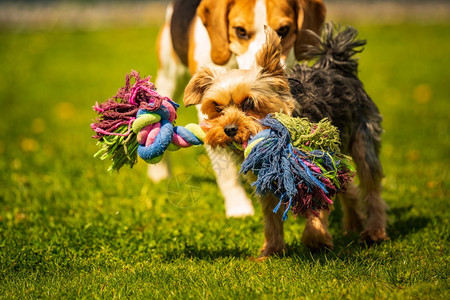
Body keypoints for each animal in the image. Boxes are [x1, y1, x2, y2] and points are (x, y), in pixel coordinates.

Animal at [153, 0, 326, 217]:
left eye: (284, 30)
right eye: (240, 31)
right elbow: (225, 168)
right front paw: (239, 208)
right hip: (168, 76)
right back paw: (159, 173)